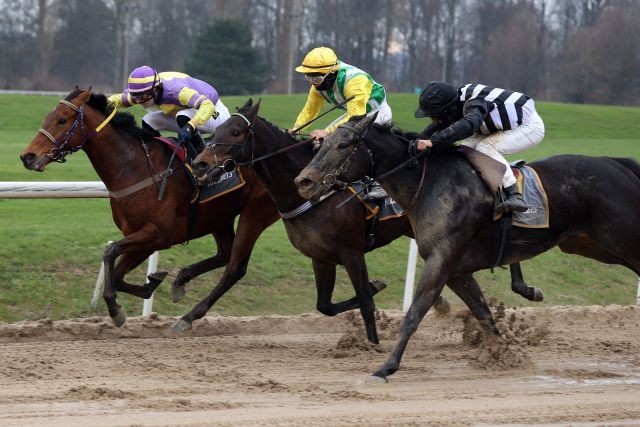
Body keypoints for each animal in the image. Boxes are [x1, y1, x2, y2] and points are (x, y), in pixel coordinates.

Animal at [20, 88, 280, 328]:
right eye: (48, 117)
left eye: (62, 120)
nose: (27, 156)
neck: (134, 168)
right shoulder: (140, 237)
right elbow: (117, 274)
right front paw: (151, 282)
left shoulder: (157, 234)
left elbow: (110, 253)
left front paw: (116, 309)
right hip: (220, 217)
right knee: (225, 254)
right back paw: (180, 280)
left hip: (255, 214)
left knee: (236, 267)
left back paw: (188, 316)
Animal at [296, 113, 640, 382]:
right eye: (322, 143)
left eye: (343, 145)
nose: (304, 181)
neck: (429, 183)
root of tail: (617, 165)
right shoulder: (456, 270)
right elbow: (482, 312)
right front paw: (504, 356)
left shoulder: (441, 260)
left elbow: (414, 314)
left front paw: (385, 368)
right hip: (590, 246)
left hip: (621, 239)